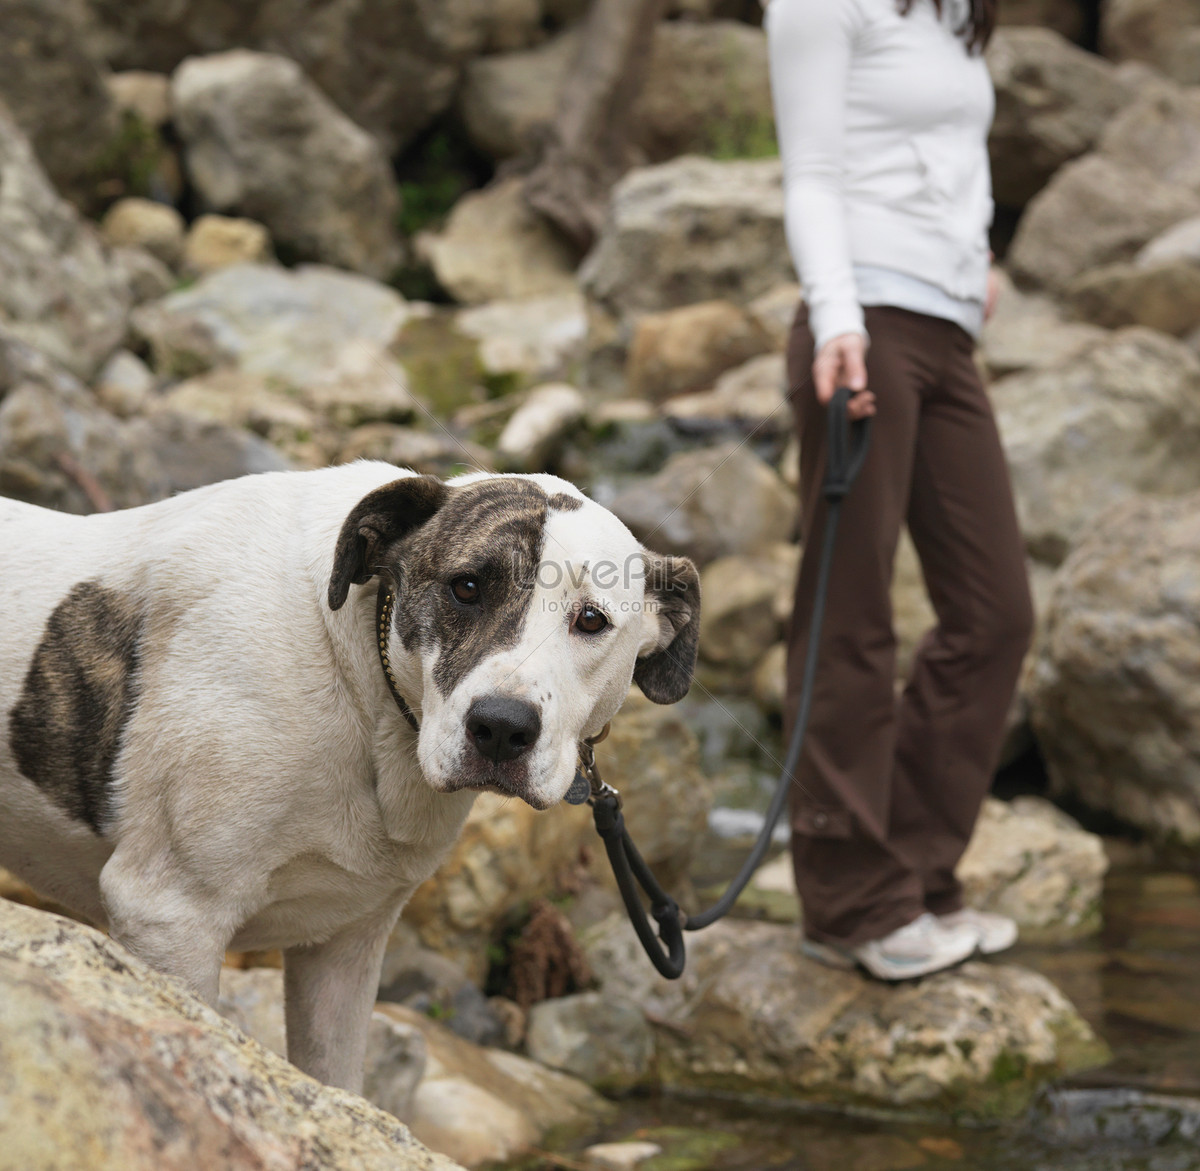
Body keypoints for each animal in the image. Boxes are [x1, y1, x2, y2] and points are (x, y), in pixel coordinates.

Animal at [0, 463, 700, 1094]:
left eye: (591, 620)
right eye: (467, 586)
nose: (501, 728)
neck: (365, 694)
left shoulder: (344, 949)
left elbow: (336, 1081)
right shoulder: (169, 917)